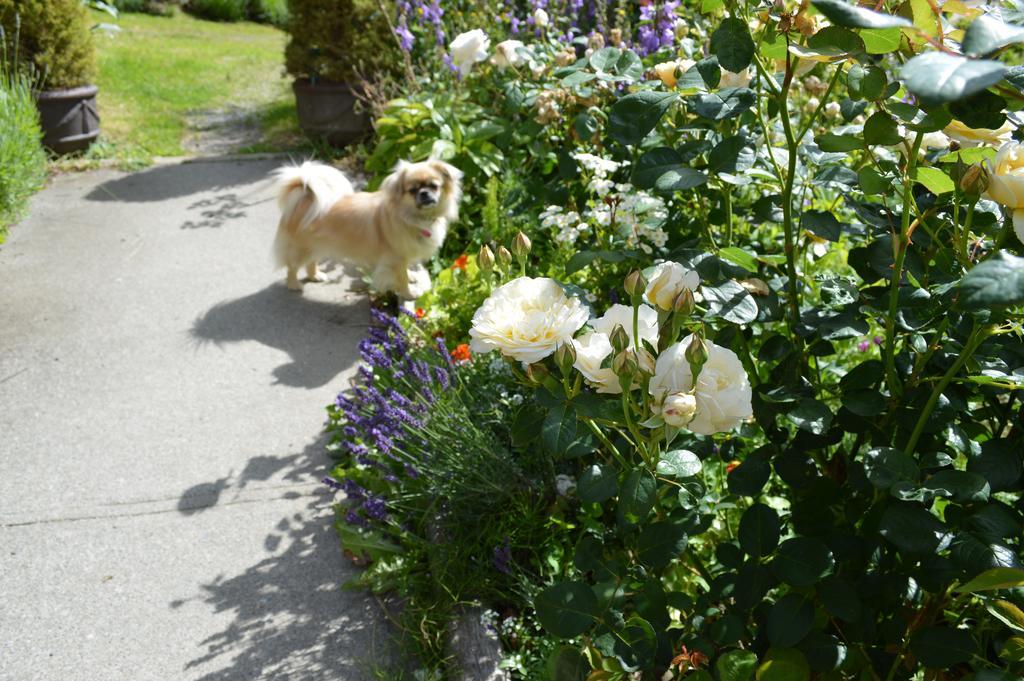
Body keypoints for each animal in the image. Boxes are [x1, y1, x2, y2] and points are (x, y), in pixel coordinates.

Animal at [272, 160, 464, 299]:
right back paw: (294, 285)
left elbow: (405, 272)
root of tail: (304, 197)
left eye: (434, 186)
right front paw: (409, 294)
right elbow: (401, 279)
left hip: (318, 246)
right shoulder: (396, 259)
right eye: (412, 190)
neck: (413, 217)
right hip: (301, 248)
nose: (424, 193)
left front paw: (411, 276)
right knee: (292, 267)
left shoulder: (403, 256)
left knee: (311, 262)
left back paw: (316, 276)